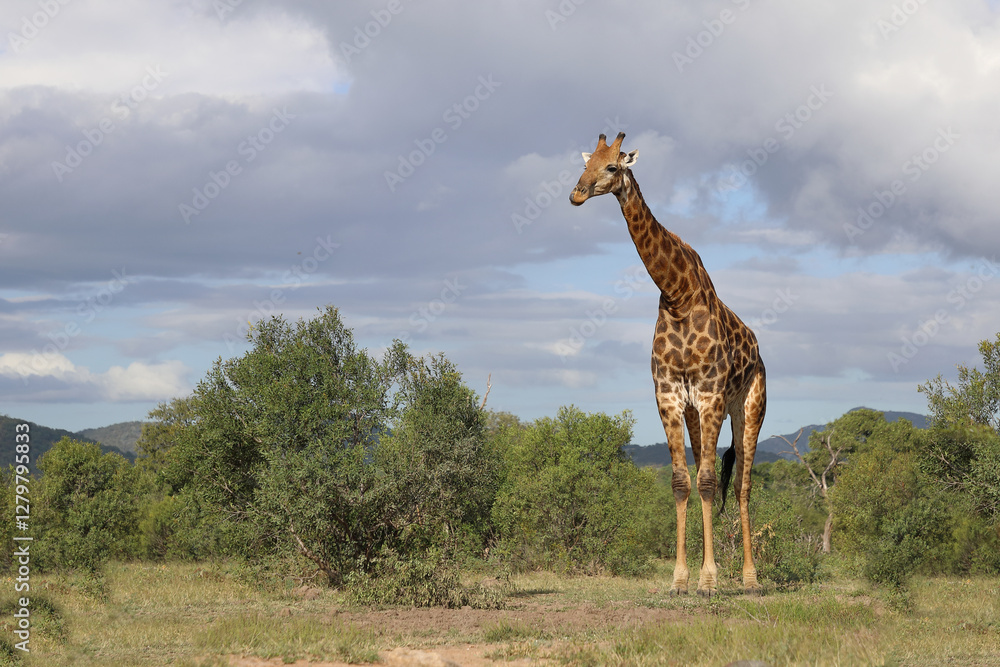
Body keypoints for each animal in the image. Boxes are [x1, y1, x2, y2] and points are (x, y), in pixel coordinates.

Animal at [570, 132, 766, 595]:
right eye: (586, 164)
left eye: (612, 167)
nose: (576, 193)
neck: (678, 295)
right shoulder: (669, 397)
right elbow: (682, 481)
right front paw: (680, 579)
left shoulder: (711, 395)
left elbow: (710, 481)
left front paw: (709, 581)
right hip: (699, 414)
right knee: (707, 476)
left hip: (748, 405)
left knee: (743, 484)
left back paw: (750, 580)